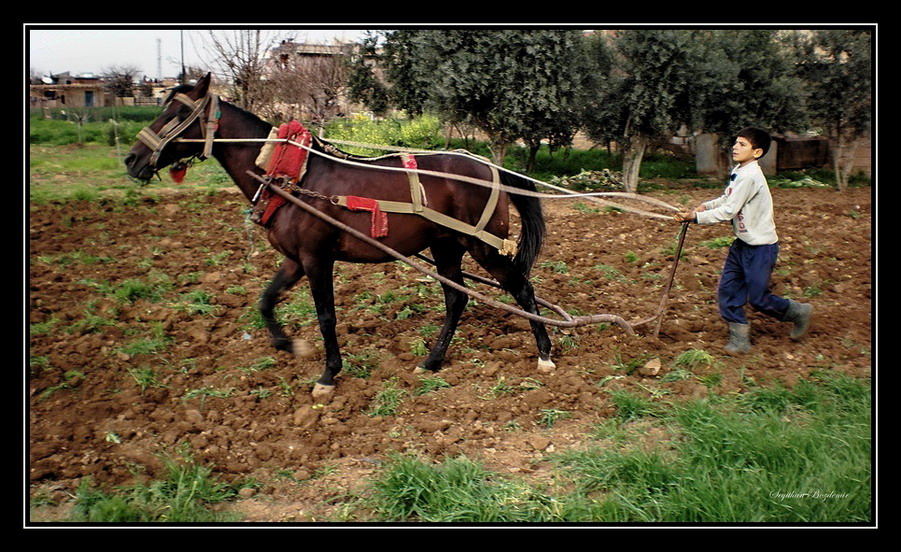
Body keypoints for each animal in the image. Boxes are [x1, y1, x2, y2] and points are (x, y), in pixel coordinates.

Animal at [123, 72, 552, 396]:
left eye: (179, 112)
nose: (132, 159)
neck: (293, 175)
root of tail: (490, 169)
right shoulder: (294, 259)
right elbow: (266, 301)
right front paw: (289, 344)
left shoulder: (317, 258)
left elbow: (326, 316)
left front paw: (329, 375)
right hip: (445, 246)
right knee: (456, 299)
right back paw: (432, 361)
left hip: (483, 246)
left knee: (521, 288)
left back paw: (545, 354)